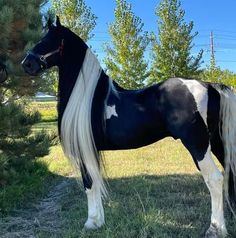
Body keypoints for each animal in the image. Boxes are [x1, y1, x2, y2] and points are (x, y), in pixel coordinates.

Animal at [21, 18, 235, 236]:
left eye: (49, 39)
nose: (26, 64)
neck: (87, 99)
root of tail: (209, 85)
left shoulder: (84, 150)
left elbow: (89, 184)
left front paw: (91, 222)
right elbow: (96, 182)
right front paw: (99, 221)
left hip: (197, 144)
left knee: (215, 179)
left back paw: (215, 229)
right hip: (217, 142)